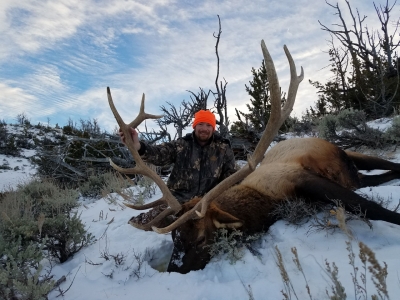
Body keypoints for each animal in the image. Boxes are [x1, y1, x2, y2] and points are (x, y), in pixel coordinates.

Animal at [108, 40, 400, 274]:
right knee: (376, 176)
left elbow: (375, 209)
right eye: (173, 239)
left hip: (349, 154)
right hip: (355, 173)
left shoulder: (302, 177)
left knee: (390, 165)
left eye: (200, 239)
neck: (265, 202)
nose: (172, 271)